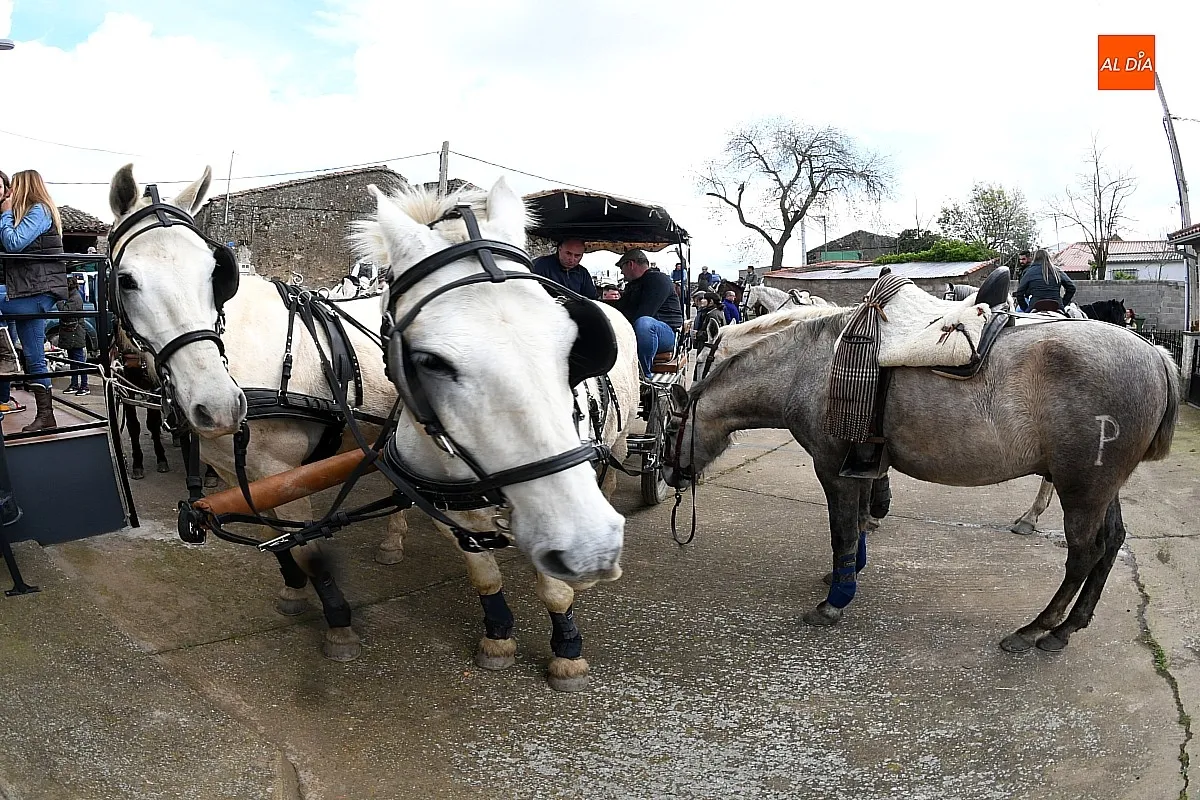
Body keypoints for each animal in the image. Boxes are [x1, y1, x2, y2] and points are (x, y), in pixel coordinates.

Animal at [107, 165, 636, 689]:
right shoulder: (241, 472)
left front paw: (339, 625)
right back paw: (392, 540)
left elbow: (310, 550)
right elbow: (279, 543)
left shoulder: (282, 471)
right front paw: (294, 589)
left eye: (215, 273)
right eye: (126, 280)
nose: (217, 405)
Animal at [665, 309, 1178, 652]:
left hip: (1082, 489)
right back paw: (1066, 629)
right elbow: (859, 524)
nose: (670, 473)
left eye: (671, 428)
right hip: (1100, 489)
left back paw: (1036, 628)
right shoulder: (861, 468)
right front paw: (847, 575)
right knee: (1110, 544)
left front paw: (834, 601)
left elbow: (842, 532)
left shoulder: (831, 469)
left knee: (1084, 554)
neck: (811, 367)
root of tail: (1155, 355)